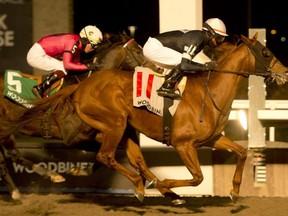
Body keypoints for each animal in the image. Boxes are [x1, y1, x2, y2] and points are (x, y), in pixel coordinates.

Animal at [11, 33, 288, 205]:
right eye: (265, 51)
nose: (284, 72)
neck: (211, 93)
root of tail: (83, 85)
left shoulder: (212, 139)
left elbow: (241, 152)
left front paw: (234, 191)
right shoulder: (183, 144)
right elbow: (198, 177)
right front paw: (164, 183)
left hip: (125, 129)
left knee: (131, 160)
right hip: (114, 124)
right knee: (106, 156)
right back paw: (142, 185)